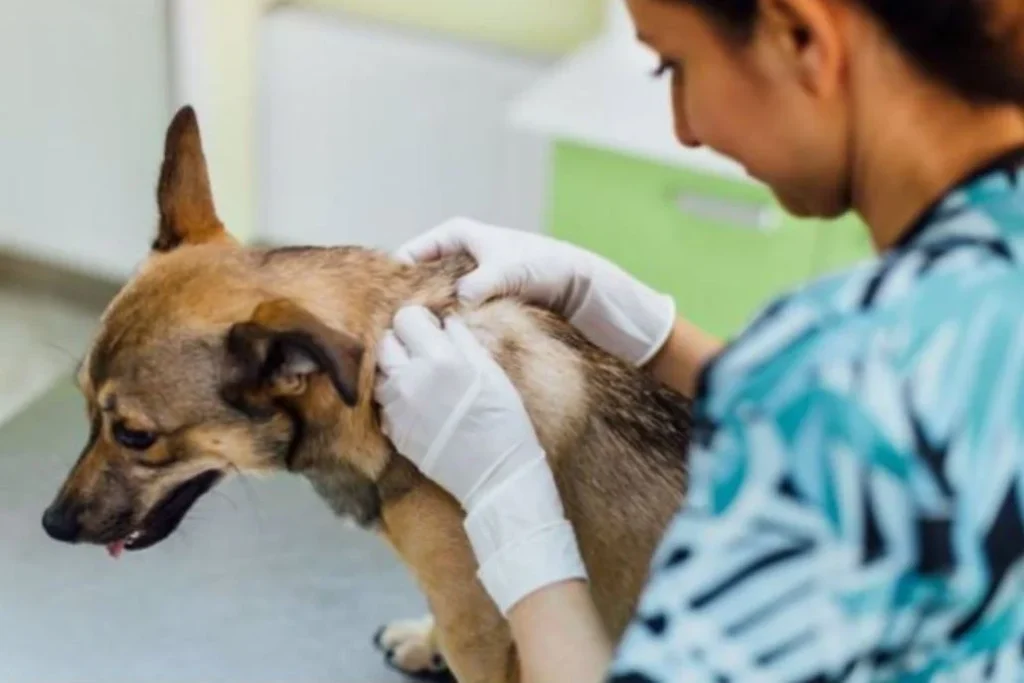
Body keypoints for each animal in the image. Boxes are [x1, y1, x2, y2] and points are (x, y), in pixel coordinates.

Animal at [39, 107, 688, 683]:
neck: (377, 390)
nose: (52, 524)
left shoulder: (480, 634)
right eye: (83, 403)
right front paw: (423, 639)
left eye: (136, 435)